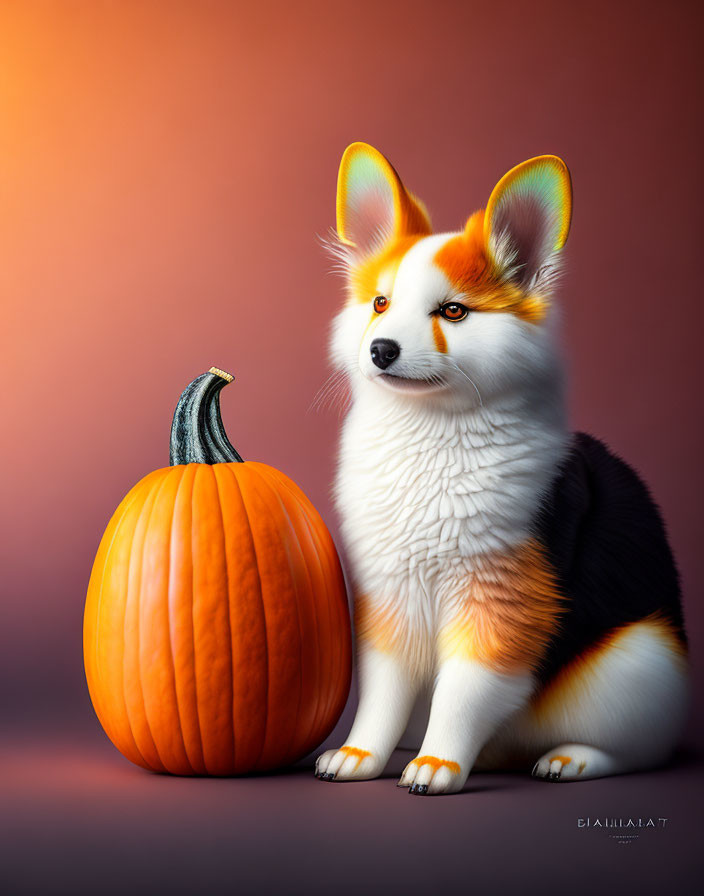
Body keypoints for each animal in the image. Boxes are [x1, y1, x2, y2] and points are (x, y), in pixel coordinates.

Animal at [314, 140, 688, 792]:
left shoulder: (501, 596)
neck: (431, 430)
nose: (380, 349)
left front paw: (435, 767)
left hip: (639, 667)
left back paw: (568, 760)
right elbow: (383, 690)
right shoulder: (389, 594)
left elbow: (464, 690)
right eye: (380, 303)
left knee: (641, 751)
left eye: (454, 312)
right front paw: (359, 756)